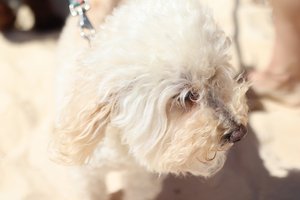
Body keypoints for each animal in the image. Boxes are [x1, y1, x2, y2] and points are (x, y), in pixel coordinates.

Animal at [52, 0, 248, 198]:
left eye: (214, 76)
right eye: (186, 96)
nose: (239, 132)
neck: (121, 135)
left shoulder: (140, 178)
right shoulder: (85, 178)